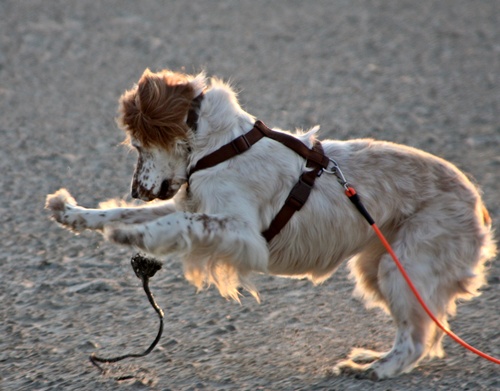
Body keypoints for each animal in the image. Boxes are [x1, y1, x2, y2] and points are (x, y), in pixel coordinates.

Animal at [46, 68, 496, 380]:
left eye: (138, 145)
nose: (137, 190)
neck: (221, 147)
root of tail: (478, 204)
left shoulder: (241, 233)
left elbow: (178, 224)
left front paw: (133, 235)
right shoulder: (190, 203)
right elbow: (122, 212)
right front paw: (73, 213)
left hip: (401, 268)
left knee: (418, 339)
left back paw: (377, 369)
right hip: (377, 266)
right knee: (423, 331)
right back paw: (373, 358)